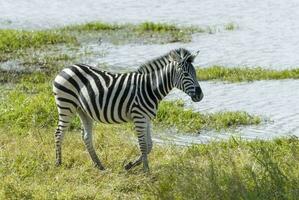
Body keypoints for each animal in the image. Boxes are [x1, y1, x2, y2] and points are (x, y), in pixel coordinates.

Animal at [53, 47, 204, 171]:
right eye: (186, 74)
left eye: (195, 73)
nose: (200, 95)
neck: (150, 87)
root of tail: (66, 68)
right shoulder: (139, 117)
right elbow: (143, 145)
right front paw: (146, 171)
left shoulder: (147, 118)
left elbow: (149, 145)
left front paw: (130, 165)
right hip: (66, 104)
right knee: (59, 133)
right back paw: (58, 163)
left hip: (83, 110)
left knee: (86, 137)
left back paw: (99, 165)